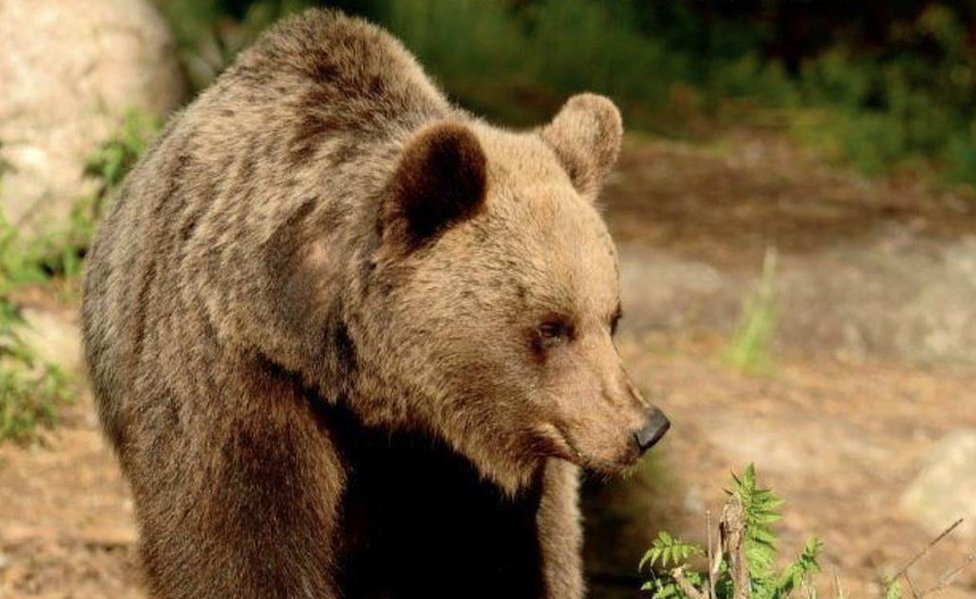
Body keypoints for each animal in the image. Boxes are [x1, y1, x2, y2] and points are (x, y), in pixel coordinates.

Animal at [81, 8, 669, 599]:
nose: (645, 428)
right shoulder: (237, 373)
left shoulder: (469, 471)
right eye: (552, 326)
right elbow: (238, 545)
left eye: (612, 318)